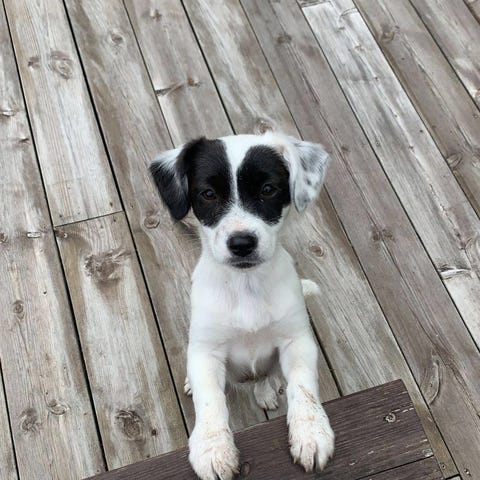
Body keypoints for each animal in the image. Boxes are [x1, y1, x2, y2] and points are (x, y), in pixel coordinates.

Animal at [150, 131, 334, 480]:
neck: (245, 286)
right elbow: (210, 401)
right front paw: (212, 449)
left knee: (265, 375)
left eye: (268, 189)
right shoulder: (206, 352)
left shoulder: (297, 341)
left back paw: (265, 390)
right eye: (208, 194)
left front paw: (311, 433)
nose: (241, 244)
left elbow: (303, 387)